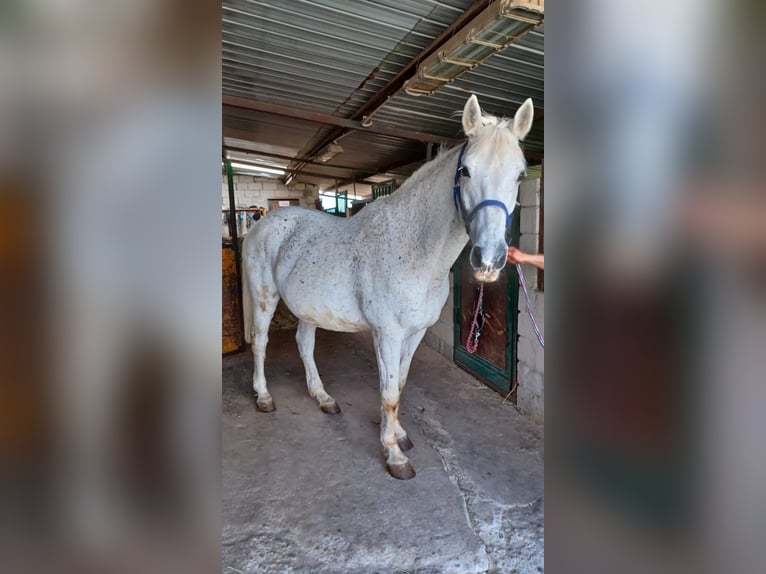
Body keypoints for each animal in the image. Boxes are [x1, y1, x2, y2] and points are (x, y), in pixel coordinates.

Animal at [244, 95, 536, 482]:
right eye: (466, 171)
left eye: (520, 174)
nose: (488, 259)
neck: (414, 249)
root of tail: (263, 223)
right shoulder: (388, 334)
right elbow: (388, 393)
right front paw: (394, 456)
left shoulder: (413, 334)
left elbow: (398, 385)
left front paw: (398, 436)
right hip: (265, 299)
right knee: (260, 343)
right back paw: (263, 397)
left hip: (309, 308)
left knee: (304, 345)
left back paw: (323, 398)